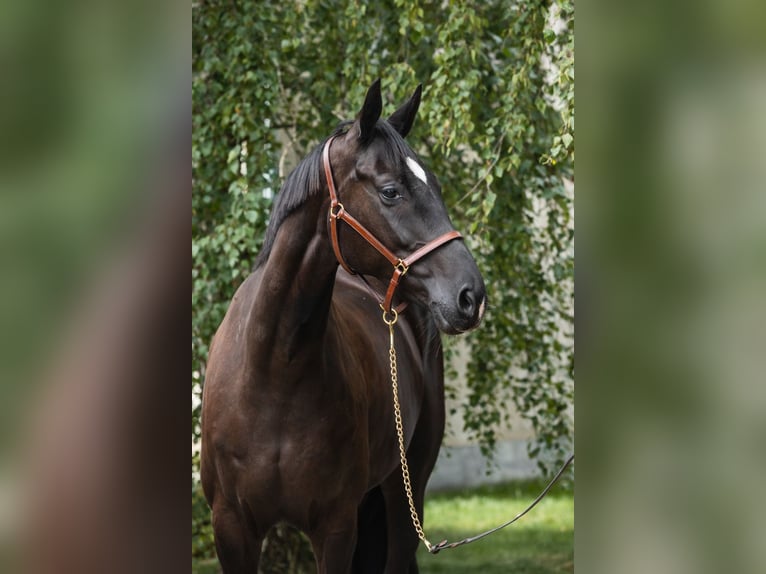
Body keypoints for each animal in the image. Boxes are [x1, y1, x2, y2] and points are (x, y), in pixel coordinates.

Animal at [201, 81, 488, 574]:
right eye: (390, 191)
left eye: (434, 185)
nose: (471, 295)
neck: (274, 370)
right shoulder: (231, 528)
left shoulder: (336, 527)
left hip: (405, 488)